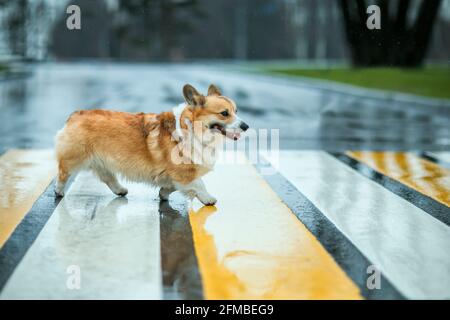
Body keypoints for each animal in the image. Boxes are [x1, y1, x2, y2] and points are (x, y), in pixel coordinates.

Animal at [54, 84, 250, 205]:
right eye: (224, 113)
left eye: (236, 111)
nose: (246, 126)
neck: (192, 129)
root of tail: (75, 114)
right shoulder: (185, 172)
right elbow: (199, 184)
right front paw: (208, 198)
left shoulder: (173, 175)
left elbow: (170, 187)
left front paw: (163, 193)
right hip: (74, 158)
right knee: (63, 173)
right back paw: (59, 191)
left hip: (103, 161)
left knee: (108, 177)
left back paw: (120, 190)